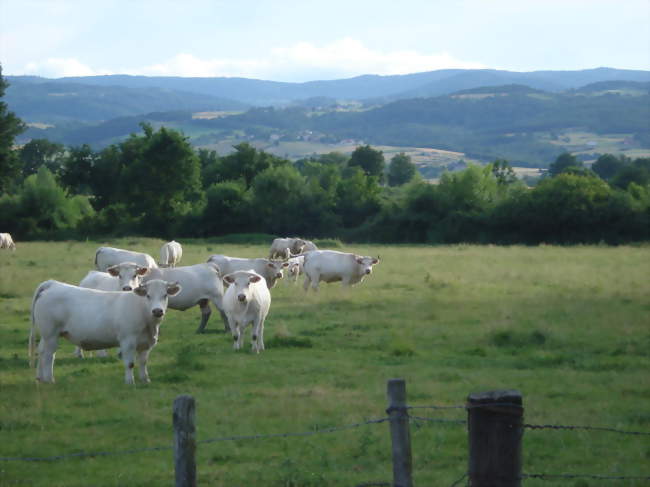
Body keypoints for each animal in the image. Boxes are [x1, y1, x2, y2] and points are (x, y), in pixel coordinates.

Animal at [28, 278, 180, 386]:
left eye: (165, 295)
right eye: (148, 295)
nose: (157, 311)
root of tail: (53, 284)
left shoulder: (146, 343)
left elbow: (143, 362)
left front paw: (145, 380)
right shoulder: (128, 341)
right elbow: (130, 363)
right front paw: (130, 382)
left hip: (46, 335)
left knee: (41, 352)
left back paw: (40, 378)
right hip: (51, 334)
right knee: (49, 355)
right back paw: (50, 379)